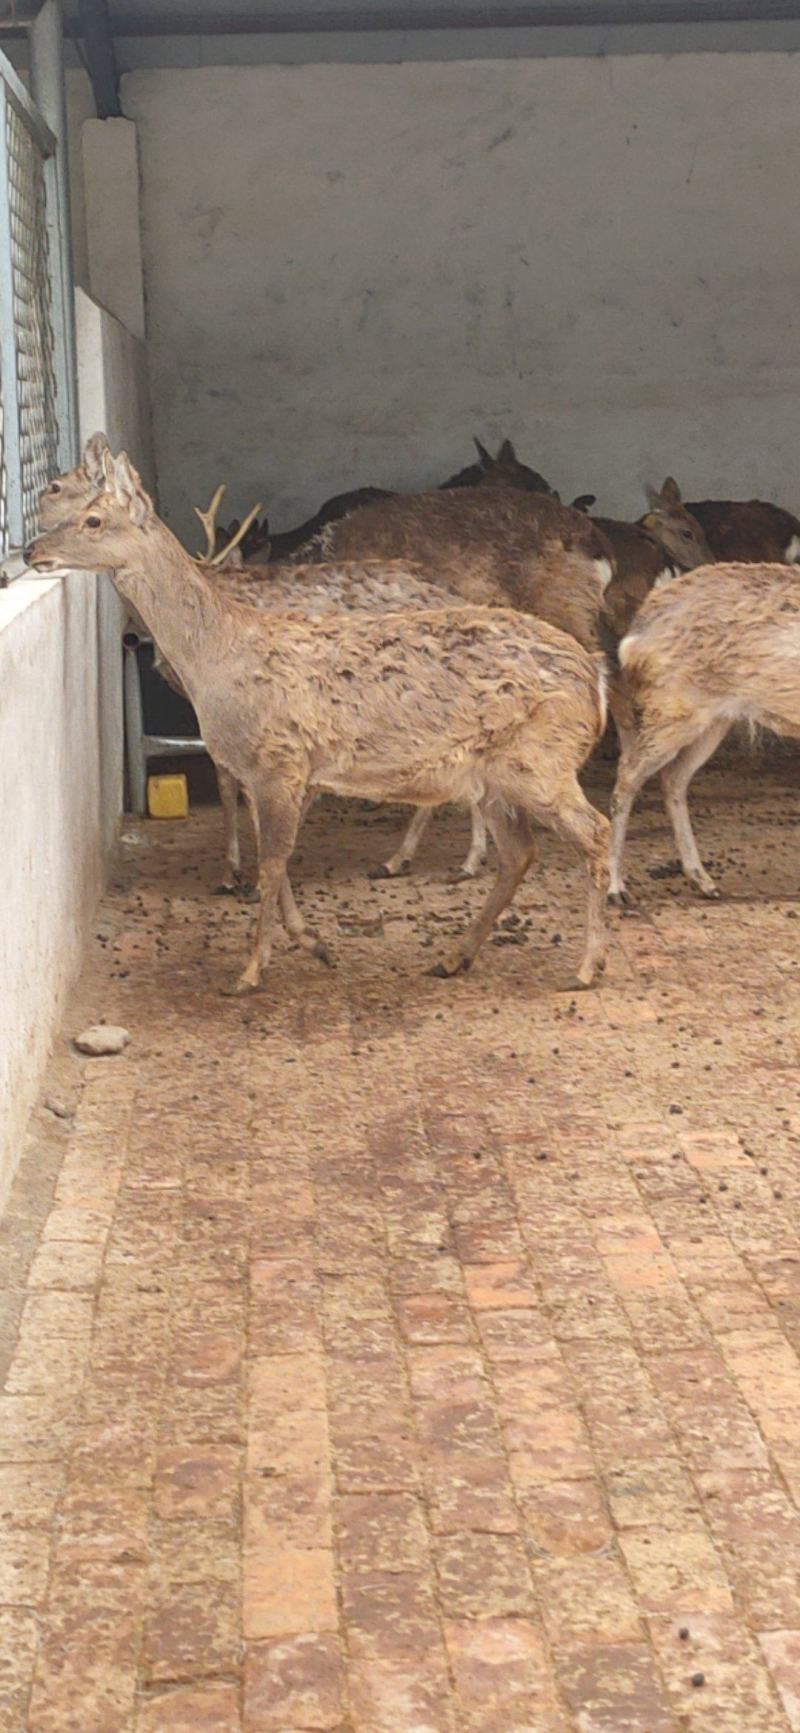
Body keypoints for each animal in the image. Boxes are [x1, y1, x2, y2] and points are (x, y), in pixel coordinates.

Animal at [26, 451, 611, 995]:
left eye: (93, 518)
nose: (32, 550)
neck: (218, 657)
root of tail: (593, 682)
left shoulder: (278, 759)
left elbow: (272, 862)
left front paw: (250, 971)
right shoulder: (270, 771)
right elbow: (277, 859)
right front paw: (313, 944)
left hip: (541, 760)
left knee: (593, 831)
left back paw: (586, 966)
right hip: (493, 777)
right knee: (521, 853)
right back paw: (453, 956)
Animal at [608, 561, 800, 904]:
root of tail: (635, 633)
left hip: (713, 720)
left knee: (673, 777)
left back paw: (703, 880)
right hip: (673, 707)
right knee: (629, 773)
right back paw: (616, 887)